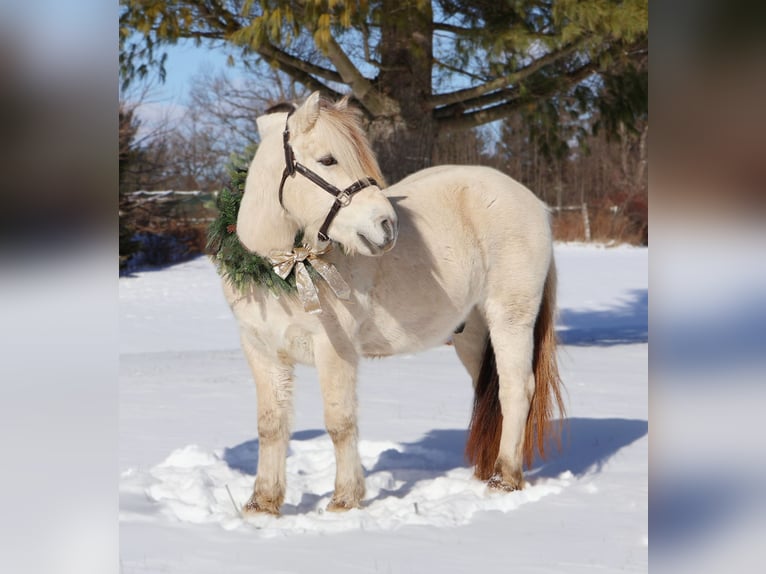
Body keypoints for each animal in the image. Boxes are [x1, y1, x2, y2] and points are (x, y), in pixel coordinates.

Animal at [223, 91, 565, 515]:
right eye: (328, 160)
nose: (387, 226)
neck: (283, 266)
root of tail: (535, 204)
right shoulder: (262, 351)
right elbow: (271, 425)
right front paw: (263, 503)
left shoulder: (334, 350)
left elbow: (339, 422)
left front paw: (345, 499)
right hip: (472, 335)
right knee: (493, 393)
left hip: (511, 319)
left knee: (516, 389)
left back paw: (505, 479)